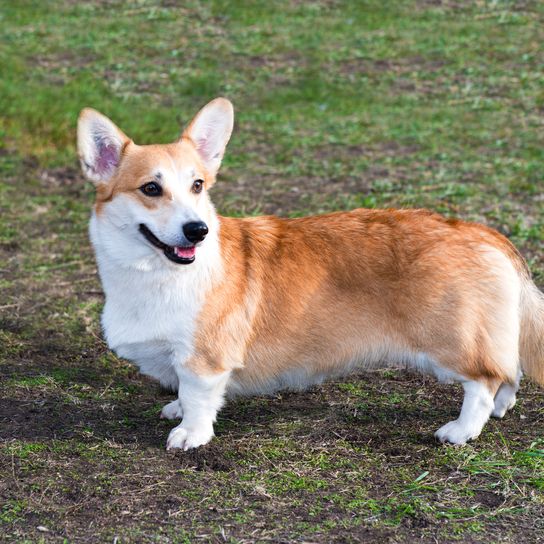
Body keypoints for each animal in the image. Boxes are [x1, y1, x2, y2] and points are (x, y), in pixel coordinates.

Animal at [77, 96, 544, 450]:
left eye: (198, 186)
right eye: (151, 188)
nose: (198, 230)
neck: (153, 274)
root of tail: (481, 232)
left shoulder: (204, 359)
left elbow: (197, 395)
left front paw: (189, 433)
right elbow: (181, 390)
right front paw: (176, 409)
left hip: (450, 343)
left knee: (485, 379)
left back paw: (460, 431)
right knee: (510, 372)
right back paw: (501, 409)